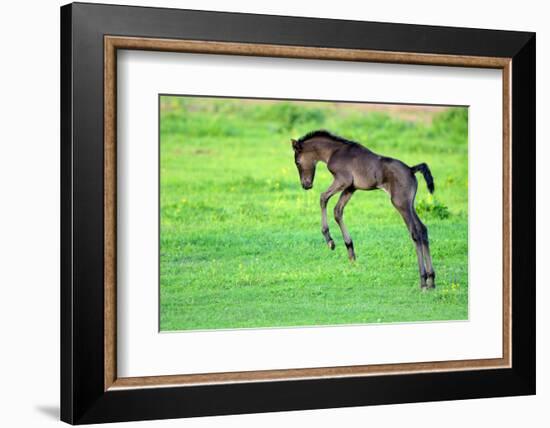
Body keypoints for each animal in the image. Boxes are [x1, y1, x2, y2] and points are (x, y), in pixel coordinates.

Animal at [292, 130, 438, 290]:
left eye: (297, 162)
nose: (306, 185)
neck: (334, 151)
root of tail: (411, 169)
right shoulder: (351, 187)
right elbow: (337, 211)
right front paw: (350, 252)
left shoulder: (343, 180)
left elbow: (323, 198)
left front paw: (329, 240)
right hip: (410, 204)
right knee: (423, 230)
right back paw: (431, 280)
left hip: (401, 203)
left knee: (415, 233)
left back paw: (423, 281)